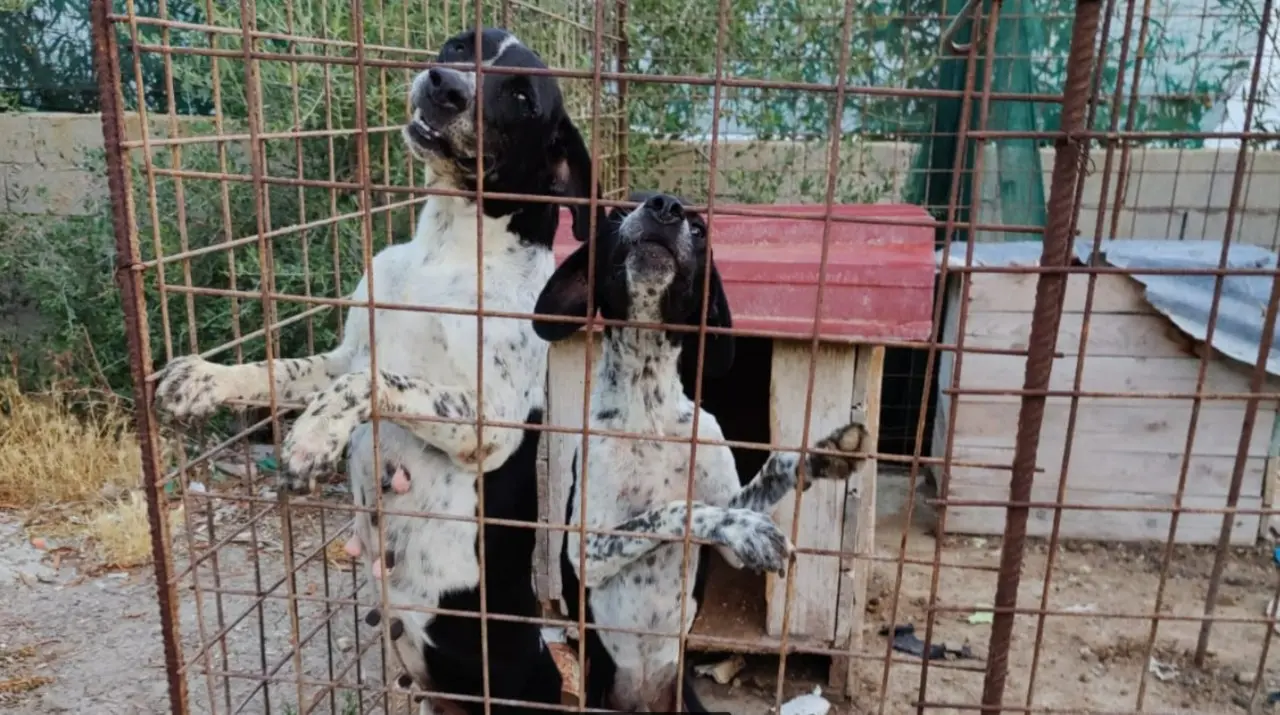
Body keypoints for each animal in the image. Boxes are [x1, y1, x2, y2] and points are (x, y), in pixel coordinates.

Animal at [152, 25, 606, 711]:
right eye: (460, 46)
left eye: (523, 98)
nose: (444, 87)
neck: (445, 252)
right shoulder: (344, 353)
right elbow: (284, 368)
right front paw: (205, 379)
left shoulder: (488, 427)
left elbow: (373, 384)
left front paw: (312, 439)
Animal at [529, 193, 870, 711]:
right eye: (617, 212)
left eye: (699, 227)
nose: (664, 206)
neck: (648, 399)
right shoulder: (586, 549)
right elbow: (676, 509)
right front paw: (752, 531)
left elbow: (762, 475)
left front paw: (822, 454)